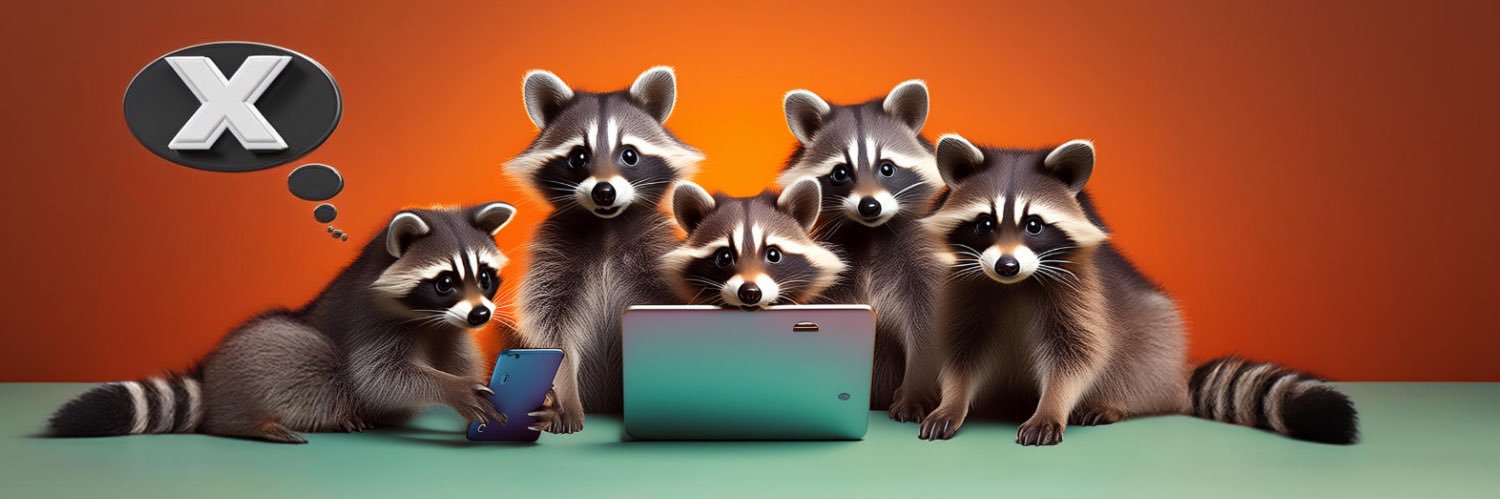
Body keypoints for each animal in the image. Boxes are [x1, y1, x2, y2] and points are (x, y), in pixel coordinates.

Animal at [46, 204, 520, 443]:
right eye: (445, 282)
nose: (481, 314)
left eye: (484, 277)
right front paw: (452, 390)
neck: (428, 319)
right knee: (301, 351)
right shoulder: (368, 321)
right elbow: (378, 377)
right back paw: (252, 424)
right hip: (279, 353)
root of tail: (213, 384)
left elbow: (459, 361)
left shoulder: (449, 330)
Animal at [503, 67, 703, 433]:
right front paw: (566, 397)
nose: (604, 191)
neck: (607, 227)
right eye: (578, 156)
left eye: (629, 154)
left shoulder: (657, 249)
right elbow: (553, 328)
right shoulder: (553, 253)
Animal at [777, 80, 944, 421]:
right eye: (840, 172)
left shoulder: (923, 260)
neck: (871, 233)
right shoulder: (835, 271)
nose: (869, 206)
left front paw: (915, 392)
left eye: (887, 168)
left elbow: (926, 325)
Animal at [916, 134, 1359, 445]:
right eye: (985, 224)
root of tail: (1175, 379)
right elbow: (961, 349)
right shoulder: (969, 286)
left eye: (1034, 225)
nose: (1006, 266)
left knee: (1131, 362)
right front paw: (953, 400)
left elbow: (1077, 355)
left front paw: (1052, 406)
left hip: (1155, 344)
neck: (1015, 284)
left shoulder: (1081, 292)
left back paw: (1111, 404)